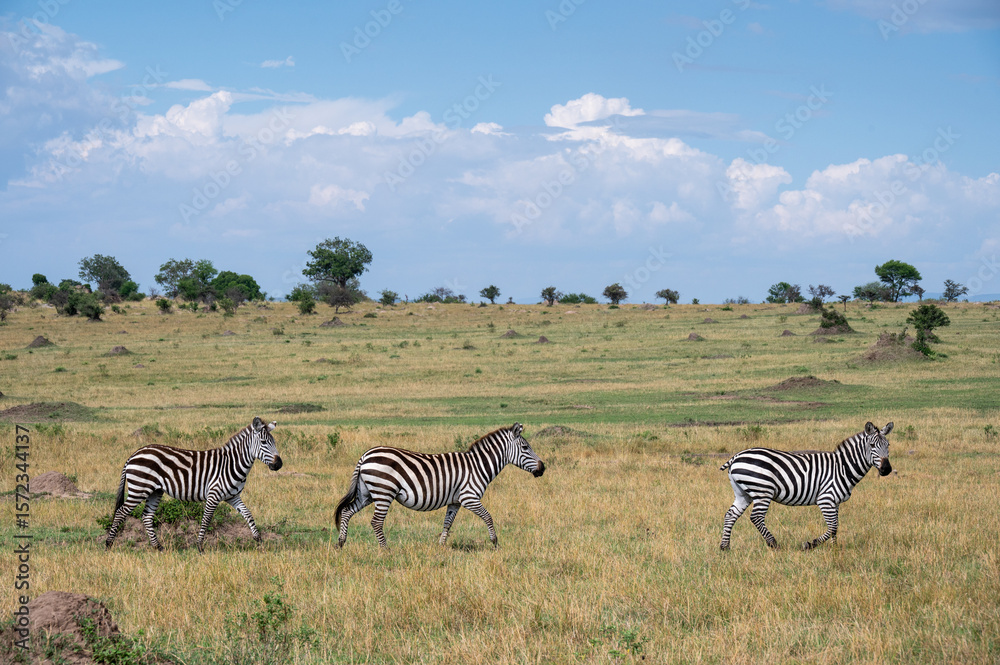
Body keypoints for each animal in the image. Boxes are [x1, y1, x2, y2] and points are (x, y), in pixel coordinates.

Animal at [105, 417, 283, 552]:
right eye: (264, 442)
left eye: (274, 442)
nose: (279, 464)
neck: (232, 463)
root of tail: (134, 454)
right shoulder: (213, 495)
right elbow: (206, 520)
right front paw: (200, 547)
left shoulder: (233, 496)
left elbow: (248, 515)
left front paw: (259, 540)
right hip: (139, 488)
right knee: (120, 512)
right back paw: (108, 544)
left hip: (155, 491)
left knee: (147, 516)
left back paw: (158, 547)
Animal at [334, 423, 545, 549]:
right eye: (525, 448)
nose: (543, 468)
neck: (478, 466)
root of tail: (365, 455)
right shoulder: (469, 498)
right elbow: (488, 517)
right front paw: (495, 543)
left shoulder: (455, 501)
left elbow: (447, 523)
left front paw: (441, 546)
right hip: (383, 491)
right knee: (376, 522)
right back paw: (386, 550)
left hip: (367, 493)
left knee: (347, 511)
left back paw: (341, 543)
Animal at [719, 421, 893, 551]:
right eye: (872, 445)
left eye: (888, 445)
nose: (887, 469)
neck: (843, 467)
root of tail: (736, 456)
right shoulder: (826, 499)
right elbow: (832, 527)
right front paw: (809, 544)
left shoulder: (835, 502)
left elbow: (835, 527)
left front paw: (834, 549)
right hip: (762, 491)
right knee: (756, 517)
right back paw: (773, 543)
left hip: (743, 493)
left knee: (730, 515)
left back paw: (725, 547)